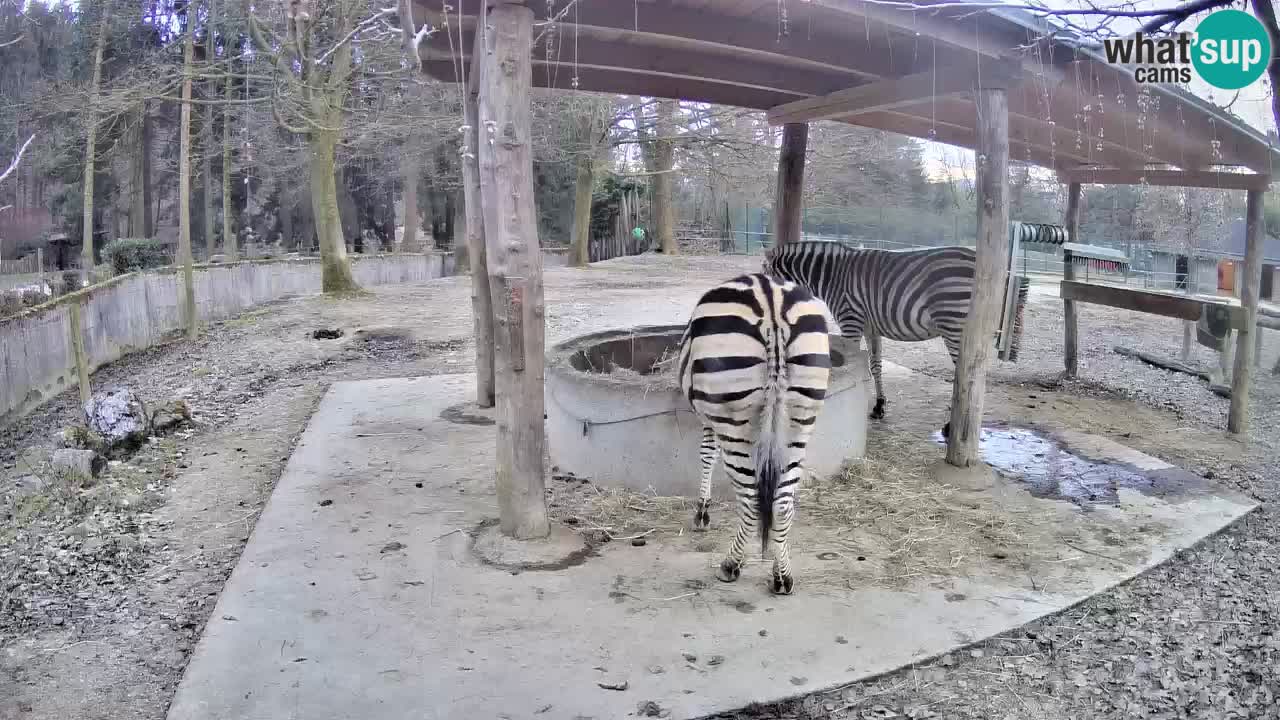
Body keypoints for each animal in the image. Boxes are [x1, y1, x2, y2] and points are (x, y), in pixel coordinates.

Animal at [675, 271, 834, 591]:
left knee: (750, 501)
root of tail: (771, 304)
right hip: (800, 421)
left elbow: (706, 454)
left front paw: (702, 512)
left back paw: (730, 565)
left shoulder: (711, 417)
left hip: (735, 422)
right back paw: (782, 575)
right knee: (782, 504)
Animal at [757, 238, 998, 435]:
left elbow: (853, 359)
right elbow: (875, 365)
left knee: (966, 376)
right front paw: (879, 406)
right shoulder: (870, 327)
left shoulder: (851, 320)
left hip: (955, 327)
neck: (831, 276)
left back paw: (950, 428)